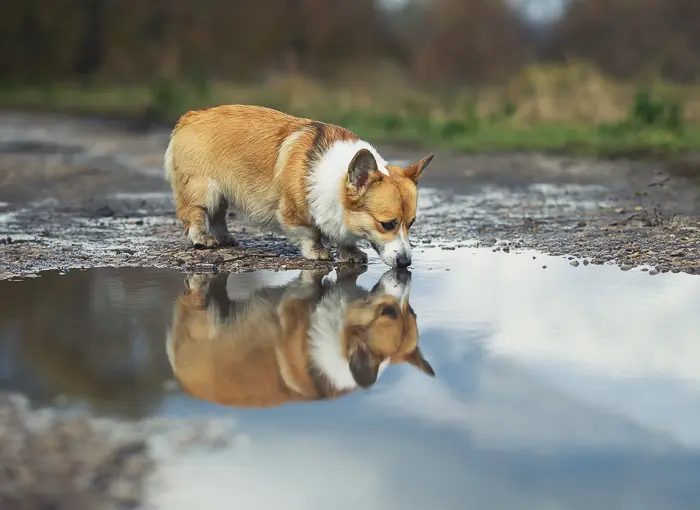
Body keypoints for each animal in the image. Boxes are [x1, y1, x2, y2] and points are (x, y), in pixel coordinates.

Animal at [166, 105, 434, 268]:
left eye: (411, 224)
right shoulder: (294, 213)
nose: (406, 263)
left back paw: (225, 237)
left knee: (219, 215)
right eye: (387, 224)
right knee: (196, 214)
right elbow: (310, 233)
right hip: (204, 190)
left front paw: (350, 253)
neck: (334, 177)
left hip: (221, 192)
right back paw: (203, 239)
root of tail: (189, 116)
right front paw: (318, 252)